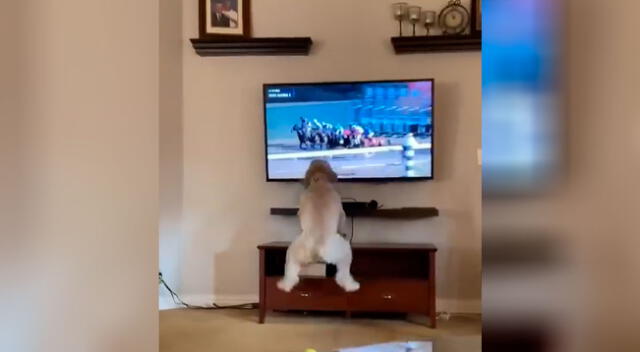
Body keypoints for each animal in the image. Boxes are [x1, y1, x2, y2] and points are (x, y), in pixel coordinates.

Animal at [278, 160, 362, 292]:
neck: (319, 180)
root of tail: (317, 249)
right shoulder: (341, 210)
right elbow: (342, 219)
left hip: (292, 254)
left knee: (291, 273)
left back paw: (284, 285)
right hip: (345, 252)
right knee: (343, 274)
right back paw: (352, 286)